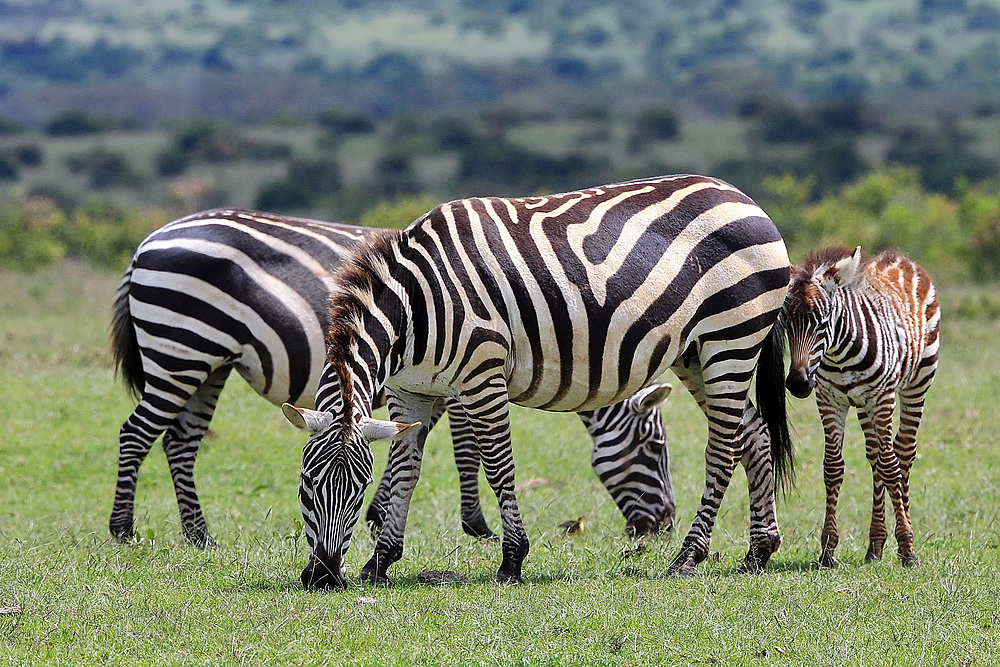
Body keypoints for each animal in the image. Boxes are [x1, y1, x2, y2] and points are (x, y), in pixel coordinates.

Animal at [113, 211, 680, 552]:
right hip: (180, 349)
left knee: (180, 442)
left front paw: (377, 512)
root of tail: (149, 240)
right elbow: (467, 450)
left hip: (209, 363)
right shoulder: (456, 381)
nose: (665, 525)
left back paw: (199, 535)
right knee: (135, 434)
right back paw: (123, 531)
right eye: (655, 449)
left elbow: (410, 445)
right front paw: (475, 525)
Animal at [284, 174, 796, 588]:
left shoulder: (482, 376)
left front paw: (512, 560)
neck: (415, 309)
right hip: (695, 352)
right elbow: (405, 471)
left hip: (732, 337)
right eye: (305, 484)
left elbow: (498, 466)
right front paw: (380, 561)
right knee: (754, 434)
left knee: (723, 448)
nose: (324, 577)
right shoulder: (410, 392)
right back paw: (759, 551)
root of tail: (742, 196)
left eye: (356, 491)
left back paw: (689, 557)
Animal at [780, 245, 936, 568]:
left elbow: (891, 467)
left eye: (822, 323)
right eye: (787, 324)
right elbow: (833, 467)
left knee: (902, 453)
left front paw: (907, 548)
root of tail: (897, 257)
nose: (798, 384)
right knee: (875, 455)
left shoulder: (882, 397)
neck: (839, 356)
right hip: (864, 404)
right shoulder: (829, 398)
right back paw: (875, 544)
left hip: (917, 383)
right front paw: (827, 549)